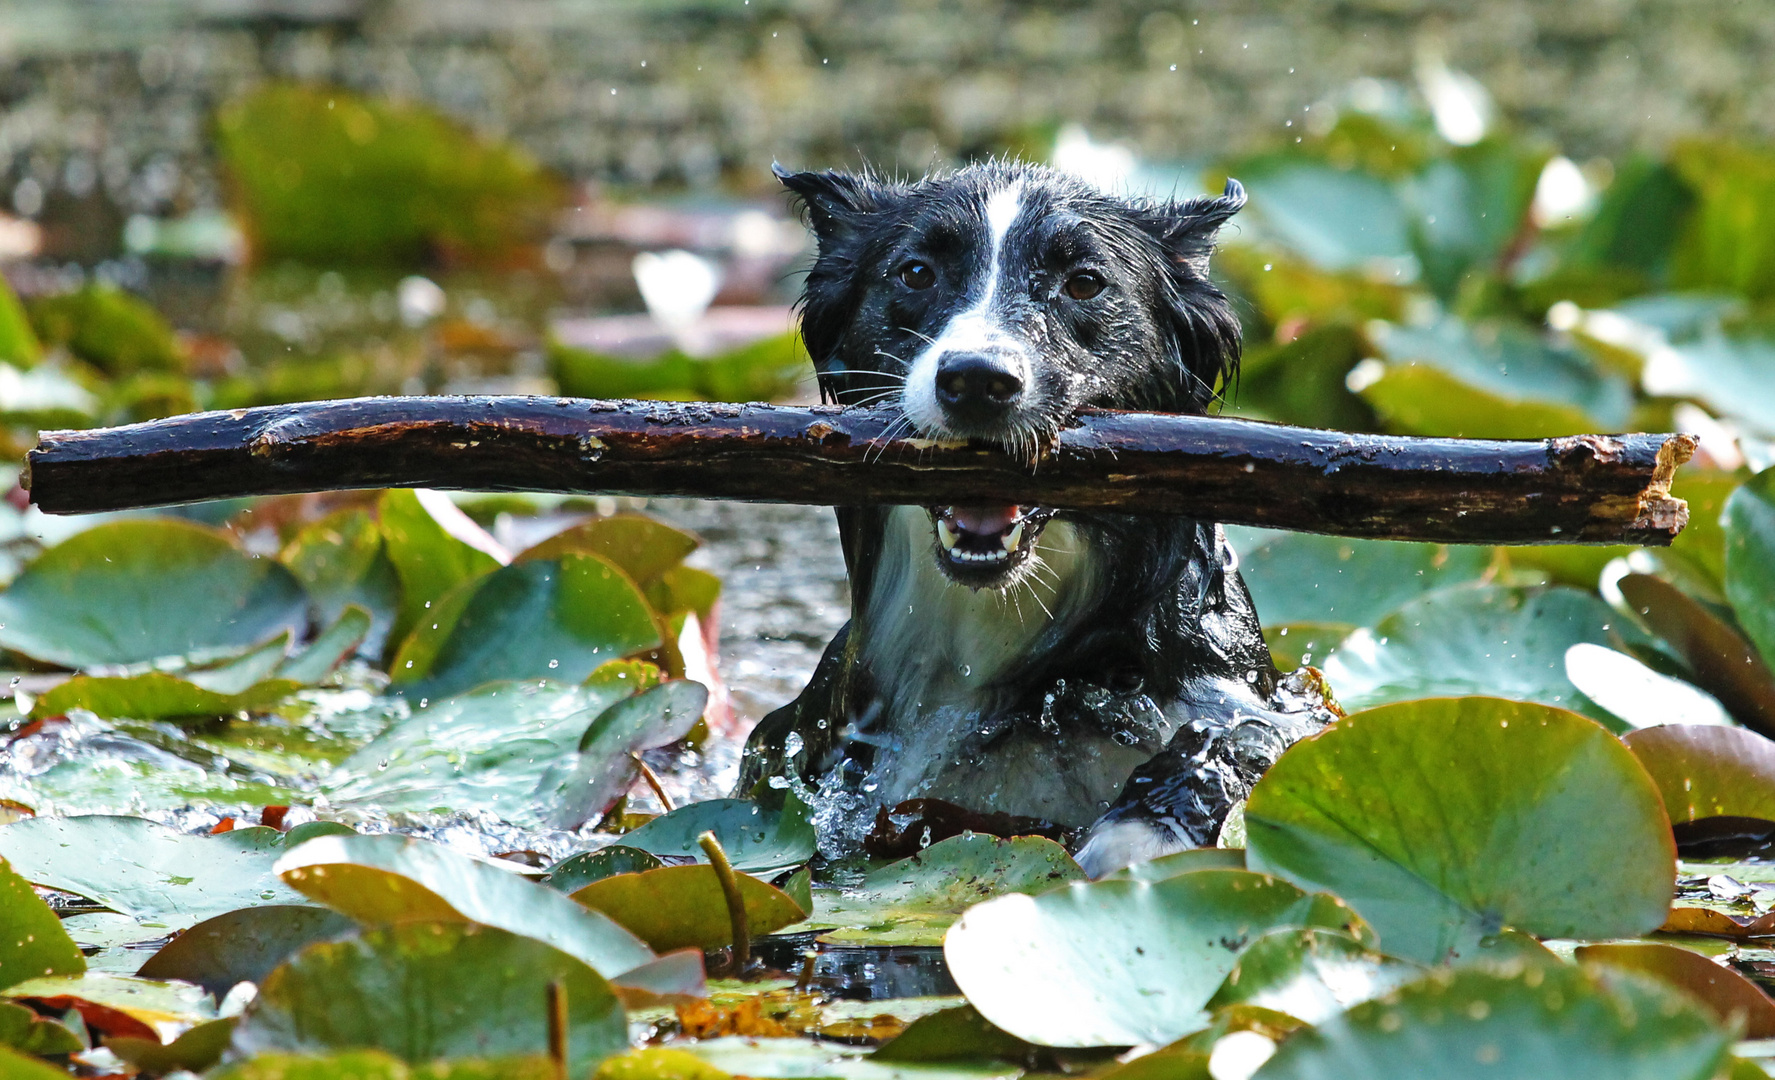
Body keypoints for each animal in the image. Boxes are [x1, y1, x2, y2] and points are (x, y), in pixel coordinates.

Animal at [731, 159, 1334, 873]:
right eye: (916, 273)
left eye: (1085, 283)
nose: (977, 379)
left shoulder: (1251, 708)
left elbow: (1241, 747)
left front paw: (1139, 828)